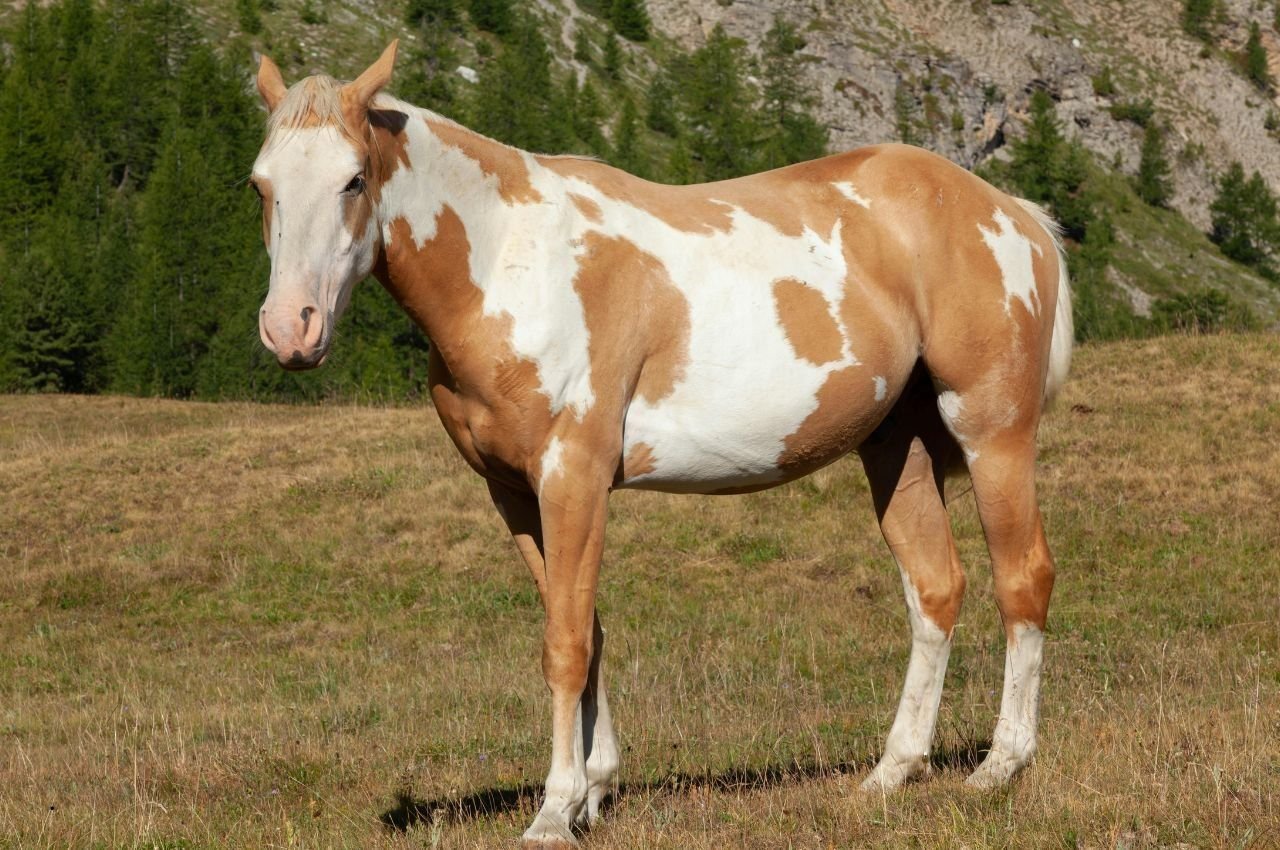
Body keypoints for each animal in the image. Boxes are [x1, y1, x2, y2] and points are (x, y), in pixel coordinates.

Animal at [251, 41, 1073, 848]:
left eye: (354, 179)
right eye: (261, 185)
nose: (291, 329)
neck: (510, 258)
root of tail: (1013, 213)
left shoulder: (574, 478)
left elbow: (566, 643)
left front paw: (553, 812)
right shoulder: (515, 492)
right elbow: (585, 627)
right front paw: (593, 793)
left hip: (992, 434)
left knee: (1022, 578)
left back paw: (1000, 767)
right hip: (896, 447)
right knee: (935, 589)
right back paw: (891, 772)